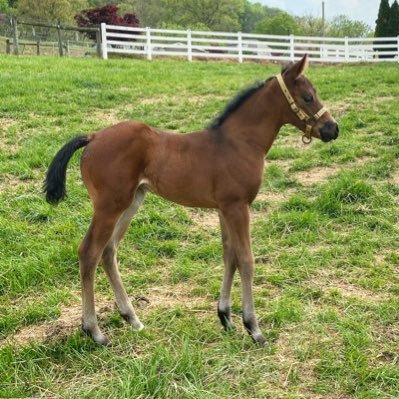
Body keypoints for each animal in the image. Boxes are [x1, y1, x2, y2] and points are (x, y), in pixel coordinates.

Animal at [43, 54, 338, 346]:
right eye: (308, 97)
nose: (333, 129)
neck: (238, 142)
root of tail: (93, 136)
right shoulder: (238, 206)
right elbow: (246, 260)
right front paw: (253, 328)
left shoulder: (224, 208)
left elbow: (229, 255)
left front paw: (226, 317)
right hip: (109, 206)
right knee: (89, 252)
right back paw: (94, 331)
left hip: (131, 202)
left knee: (108, 251)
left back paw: (132, 319)